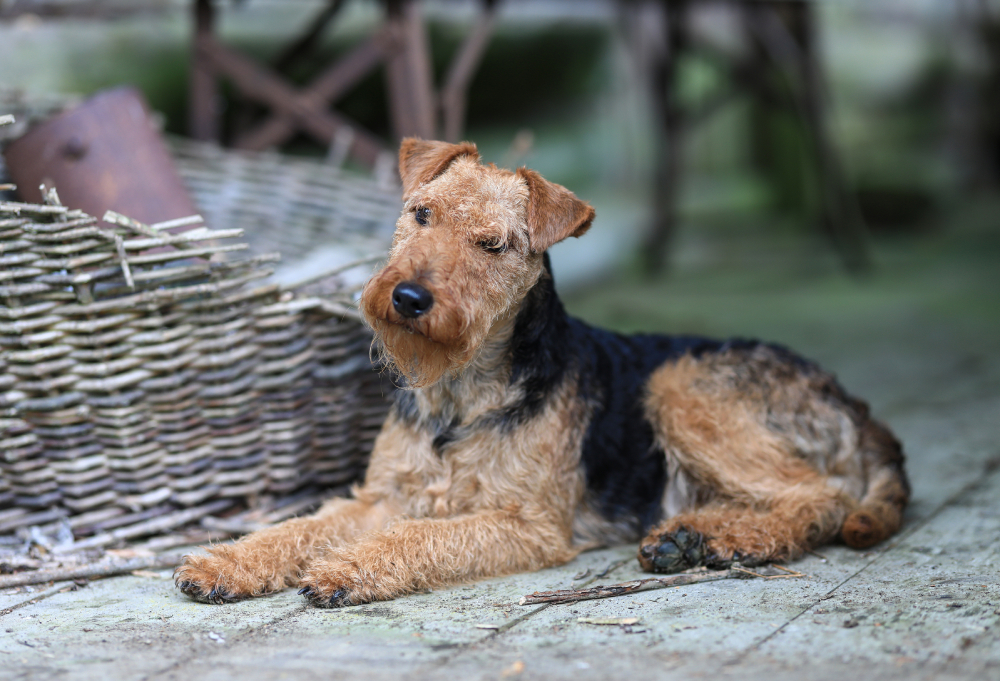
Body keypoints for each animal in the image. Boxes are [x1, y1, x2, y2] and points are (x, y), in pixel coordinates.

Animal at [176, 138, 912, 604]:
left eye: (492, 245)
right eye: (421, 213)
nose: (408, 298)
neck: (458, 394)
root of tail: (852, 403)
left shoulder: (525, 523)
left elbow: (418, 537)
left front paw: (347, 569)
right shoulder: (380, 497)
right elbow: (300, 526)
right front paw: (221, 563)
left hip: (679, 384)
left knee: (819, 495)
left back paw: (726, 542)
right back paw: (690, 539)